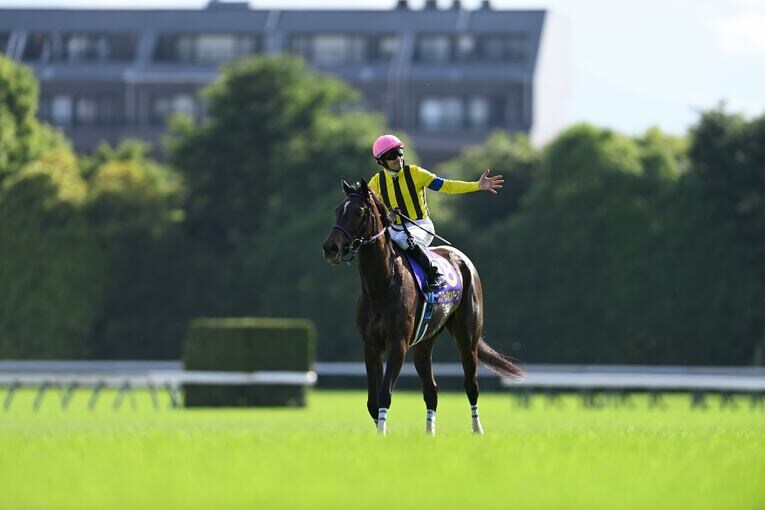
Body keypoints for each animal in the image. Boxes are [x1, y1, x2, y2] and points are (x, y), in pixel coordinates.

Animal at [321, 179, 524, 435]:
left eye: (358, 212)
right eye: (338, 209)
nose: (330, 248)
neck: (381, 283)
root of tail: (462, 258)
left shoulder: (398, 342)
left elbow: (385, 393)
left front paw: (383, 433)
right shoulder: (371, 345)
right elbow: (372, 401)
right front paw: (381, 433)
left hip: (467, 338)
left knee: (471, 384)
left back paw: (477, 429)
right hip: (424, 343)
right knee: (431, 390)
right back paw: (430, 433)